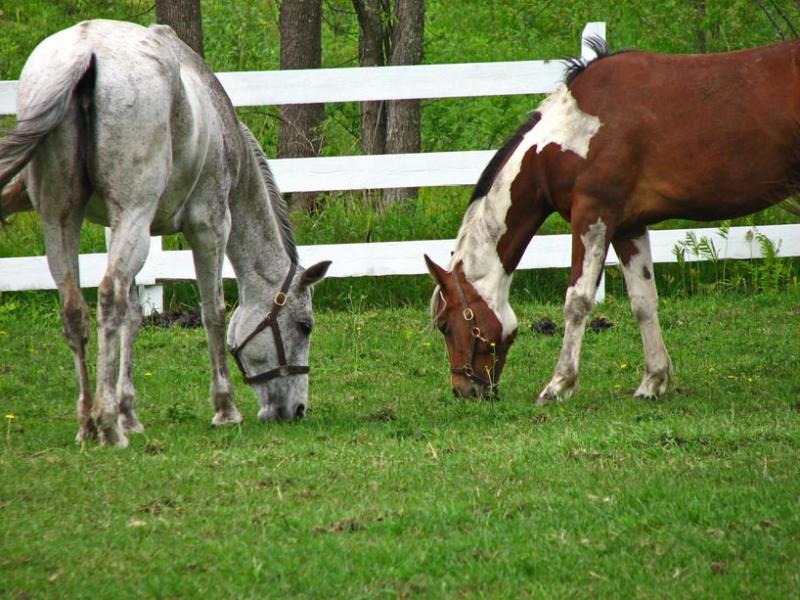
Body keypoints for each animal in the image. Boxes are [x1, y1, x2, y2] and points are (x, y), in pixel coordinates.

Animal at [0, 19, 332, 446]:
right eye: (304, 326)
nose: (296, 410)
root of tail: (84, 52)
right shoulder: (210, 226)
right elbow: (213, 312)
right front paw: (225, 408)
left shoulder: (121, 226)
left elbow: (134, 316)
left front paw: (129, 412)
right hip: (133, 218)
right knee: (108, 296)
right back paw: (107, 425)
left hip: (63, 220)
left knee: (75, 310)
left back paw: (89, 423)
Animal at [428, 37, 800, 404]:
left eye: (445, 324)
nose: (463, 390)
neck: (571, 134)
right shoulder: (627, 227)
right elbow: (643, 301)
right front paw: (653, 381)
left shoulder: (594, 216)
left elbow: (577, 300)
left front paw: (558, 385)